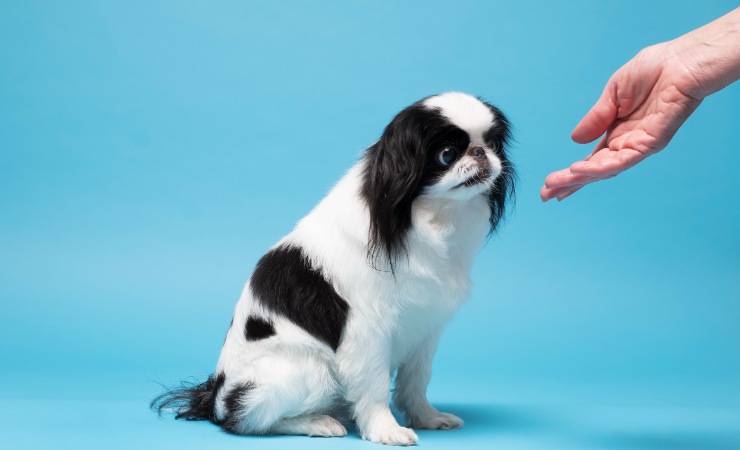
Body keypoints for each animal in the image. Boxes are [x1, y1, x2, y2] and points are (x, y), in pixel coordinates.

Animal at [152, 92, 513, 446]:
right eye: (446, 155)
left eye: (493, 145)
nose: (481, 153)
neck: (428, 216)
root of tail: (216, 396)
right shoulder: (369, 329)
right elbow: (375, 385)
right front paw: (386, 429)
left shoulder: (426, 327)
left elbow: (416, 380)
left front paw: (426, 417)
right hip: (310, 371)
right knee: (248, 421)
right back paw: (318, 422)